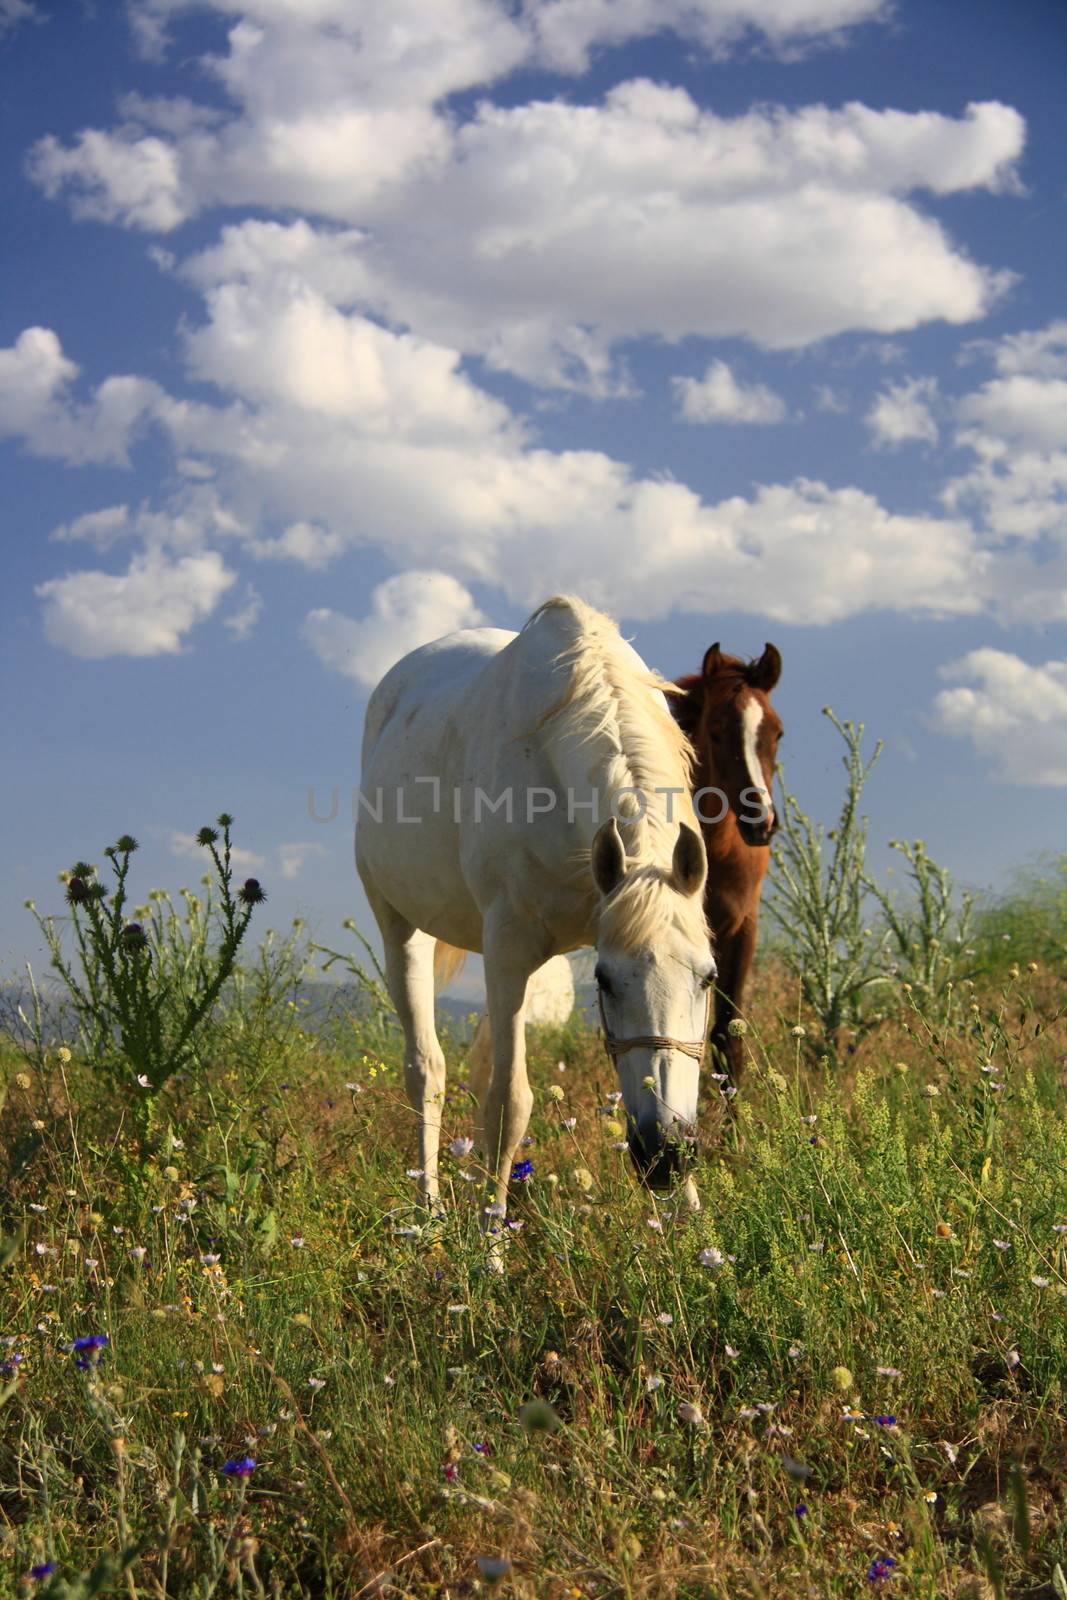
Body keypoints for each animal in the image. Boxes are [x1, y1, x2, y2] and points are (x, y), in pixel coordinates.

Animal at [358, 595, 716, 1216]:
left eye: (708, 979)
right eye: (605, 981)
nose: (665, 1154)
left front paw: (696, 1227)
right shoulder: (508, 949)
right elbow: (508, 1105)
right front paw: (490, 1235)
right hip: (399, 925)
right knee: (426, 1071)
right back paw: (429, 1215)